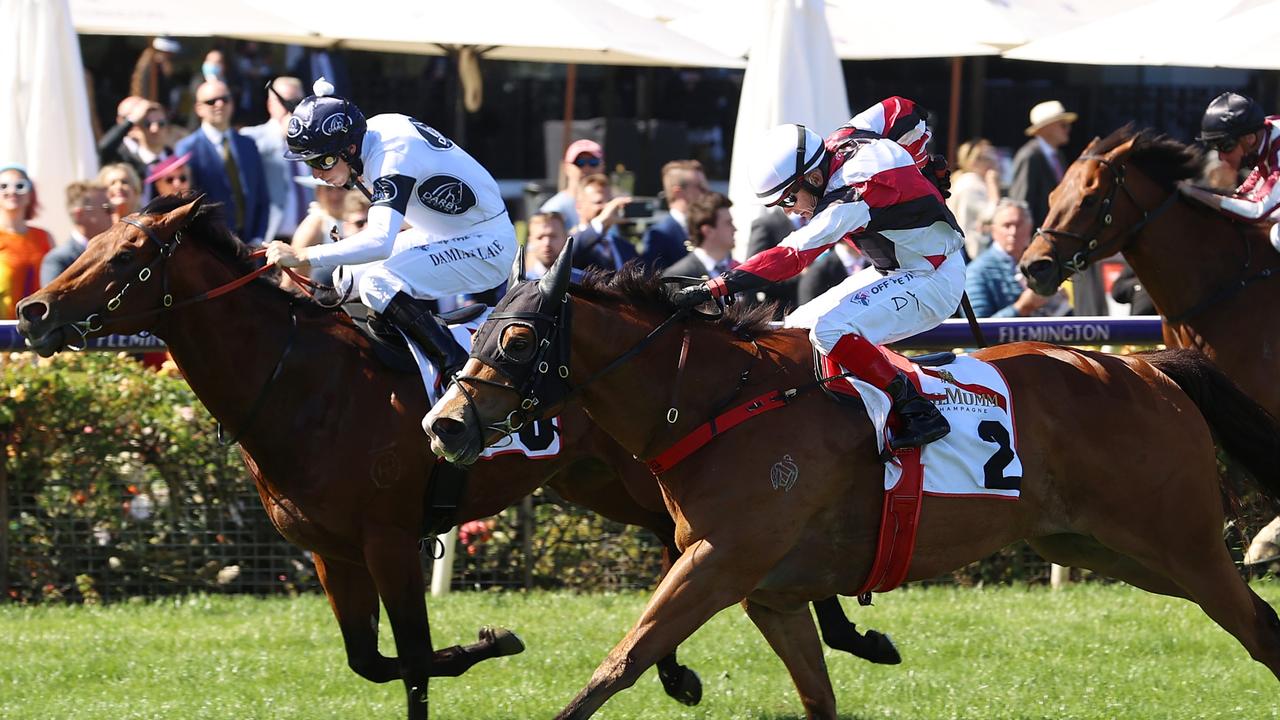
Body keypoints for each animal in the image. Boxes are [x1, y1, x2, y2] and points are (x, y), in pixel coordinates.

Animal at [10, 194, 890, 717]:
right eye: (90, 240)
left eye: (127, 256)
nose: (34, 310)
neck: (299, 379)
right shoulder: (332, 553)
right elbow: (374, 661)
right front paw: (487, 646)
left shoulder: (390, 540)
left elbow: (414, 658)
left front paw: (494, 642)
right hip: (600, 481)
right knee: (684, 548)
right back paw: (696, 665)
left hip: (638, 477)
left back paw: (845, 629)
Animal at [424, 243, 1280, 712]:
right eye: (482, 325)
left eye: (520, 338)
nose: (445, 423)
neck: (714, 400)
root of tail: (1150, 369)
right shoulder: (767, 591)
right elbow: (817, 693)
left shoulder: (717, 565)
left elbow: (619, 663)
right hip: (1109, 550)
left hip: (1181, 546)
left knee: (1259, 624)